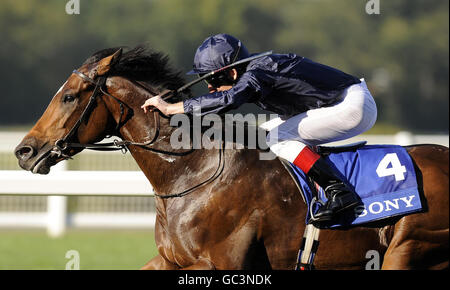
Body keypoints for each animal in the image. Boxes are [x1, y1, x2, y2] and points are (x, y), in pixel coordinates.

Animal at [13, 46, 446, 270]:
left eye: (70, 97)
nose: (23, 151)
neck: (192, 173)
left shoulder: (221, 263)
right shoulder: (170, 260)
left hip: (407, 248)